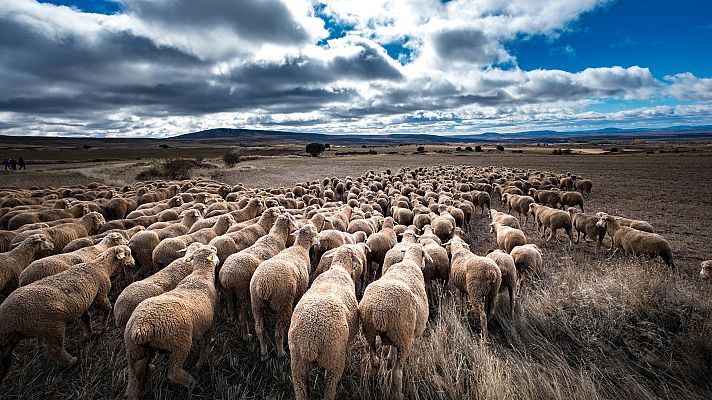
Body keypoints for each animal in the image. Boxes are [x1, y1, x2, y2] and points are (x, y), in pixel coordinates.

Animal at [0, 246, 133, 382]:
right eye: (128, 253)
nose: (133, 262)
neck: (102, 266)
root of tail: (7, 317)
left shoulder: (82, 303)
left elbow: (86, 318)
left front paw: (90, 334)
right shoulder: (100, 295)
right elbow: (107, 309)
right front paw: (102, 329)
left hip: (37, 328)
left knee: (41, 344)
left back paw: (42, 354)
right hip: (52, 327)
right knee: (56, 350)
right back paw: (71, 361)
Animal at [123, 245, 219, 399]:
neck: (200, 275)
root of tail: (141, 327)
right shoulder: (211, 322)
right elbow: (205, 345)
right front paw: (201, 363)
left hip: (134, 351)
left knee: (133, 382)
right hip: (180, 344)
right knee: (173, 373)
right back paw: (191, 383)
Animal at [250, 225, 319, 361]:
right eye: (314, 231)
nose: (319, 241)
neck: (300, 248)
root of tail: (263, 283)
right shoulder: (300, 292)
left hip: (256, 304)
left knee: (259, 329)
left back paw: (264, 354)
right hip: (283, 303)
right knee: (278, 333)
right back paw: (281, 353)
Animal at [288, 246, 362, 400]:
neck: (339, 268)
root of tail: (311, 340)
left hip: (298, 364)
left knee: (300, 389)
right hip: (334, 360)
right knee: (329, 388)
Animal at [359, 244, 430, 400]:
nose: (424, 265)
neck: (409, 262)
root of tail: (379, 312)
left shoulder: (393, 337)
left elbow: (391, 349)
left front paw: (389, 357)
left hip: (371, 331)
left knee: (374, 360)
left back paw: (374, 383)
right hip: (404, 337)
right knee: (397, 372)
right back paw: (398, 394)